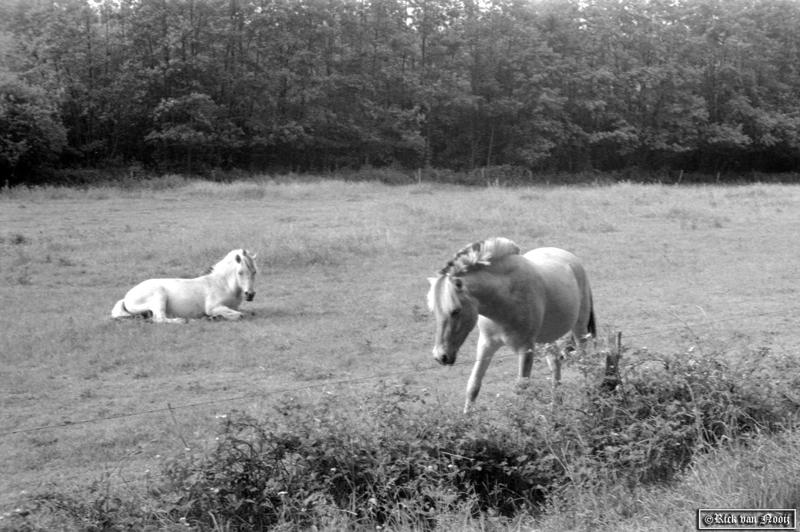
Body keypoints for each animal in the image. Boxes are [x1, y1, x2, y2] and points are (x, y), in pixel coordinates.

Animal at [109, 249, 258, 324]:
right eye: (240, 272)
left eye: (254, 272)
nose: (250, 294)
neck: (222, 284)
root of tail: (126, 298)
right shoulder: (214, 308)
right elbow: (240, 315)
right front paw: (214, 317)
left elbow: (249, 312)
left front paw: (214, 317)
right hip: (158, 297)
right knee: (160, 318)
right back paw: (184, 320)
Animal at [428, 238, 596, 416]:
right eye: (434, 311)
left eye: (456, 310)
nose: (440, 356)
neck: (503, 299)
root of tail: (571, 259)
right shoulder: (486, 344)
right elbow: (473, 385)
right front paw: (467, 419)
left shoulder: (526, 348)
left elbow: (521, 387)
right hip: (548, 337)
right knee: (555, 363)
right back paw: (555, 407)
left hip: (580, 330)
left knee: (584, 363)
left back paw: (589, 402)